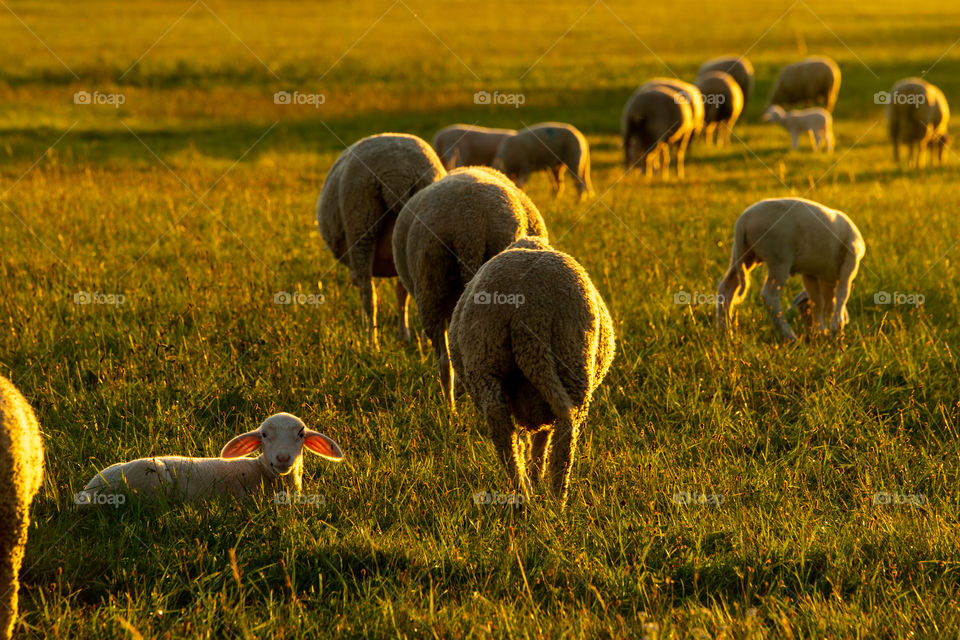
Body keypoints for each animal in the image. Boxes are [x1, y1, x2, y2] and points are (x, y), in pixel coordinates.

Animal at [317, 133, 446, 348]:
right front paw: (404, 335)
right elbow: (401, 292)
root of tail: (397, 173)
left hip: (361, 220)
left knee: (368, 291)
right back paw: (422, 342)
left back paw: (371, 342)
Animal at [448, 236, 616, 507]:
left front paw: (534, 476)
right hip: (571, 357)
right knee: (563, 434)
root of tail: (527, 311)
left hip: (487, 357)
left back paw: (524, 494)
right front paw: (536, 476)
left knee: (502, 426)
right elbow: (541, 438)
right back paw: (554, 498)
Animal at [716, 197, 865, 341]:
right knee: (769, 295)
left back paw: (726, 333)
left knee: (727, 287)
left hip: (744, 253)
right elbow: (842, 295)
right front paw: (835, 329)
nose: (810, 335)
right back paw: (790, 337)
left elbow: (819, 302)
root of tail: (743, 222)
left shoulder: (810, 273)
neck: (828, 281)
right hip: (779, 258)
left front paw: (822, 332)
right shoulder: (850, 263)